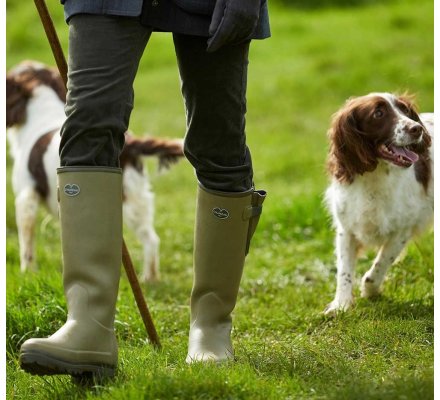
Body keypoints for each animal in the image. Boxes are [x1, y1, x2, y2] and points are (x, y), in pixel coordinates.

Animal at [7, 61, 185, 282]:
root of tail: (129, 144)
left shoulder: (26, 197)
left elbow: (26, 243)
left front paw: (27, 274)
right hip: (136, 198)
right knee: (151, 239)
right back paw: (149, 280)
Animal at [324, 92, 434, 314]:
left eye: (404, 110)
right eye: (378, 113)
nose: (416, 128)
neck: (375, 176)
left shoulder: (402, 230)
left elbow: (380, 264)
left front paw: (370, 291)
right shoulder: (346, 228)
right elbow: (344, 270)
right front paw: (341, 305)